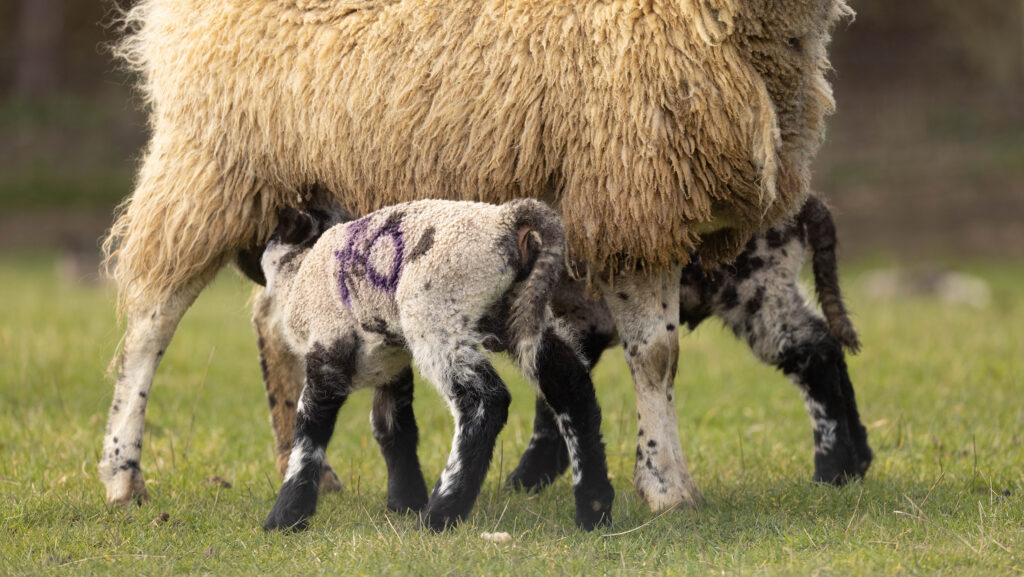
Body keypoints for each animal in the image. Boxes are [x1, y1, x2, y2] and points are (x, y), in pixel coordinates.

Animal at [258, 199, 613, 532]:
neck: (298, 274)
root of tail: (507, 220)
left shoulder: (327, 352)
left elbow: (308, 434)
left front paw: (286, 517)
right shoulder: (393, 365)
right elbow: (392, 428)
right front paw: (404, 500)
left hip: (439, 313)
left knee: (485, 401)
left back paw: (440, 515)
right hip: (520, 310)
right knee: (571, 386)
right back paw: (593, 509)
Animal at [505, 196, 873, 493]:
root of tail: (804, 199)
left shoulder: (577, 316)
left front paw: (527, 478)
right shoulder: (578, 319)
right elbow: (554, 391)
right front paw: (531, 478)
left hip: (755, 285)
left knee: (814, 353)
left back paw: (832, 471)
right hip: (770, 283)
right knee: (828, 341)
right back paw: (859, 459)